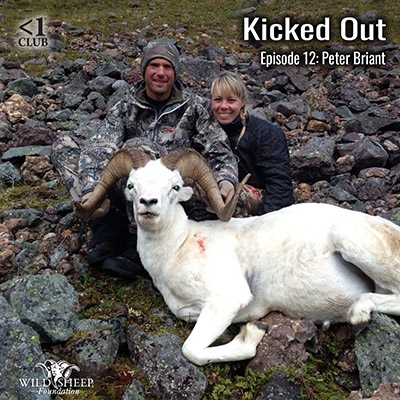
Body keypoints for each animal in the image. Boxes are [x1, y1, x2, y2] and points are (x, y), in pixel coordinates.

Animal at [75, 147, 400, 366]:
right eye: (132, 186)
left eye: (175, 187)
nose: (148, 203)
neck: (177, 249)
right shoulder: (193, 311)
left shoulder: (226, 301)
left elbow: (192, 351)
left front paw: (252, 333)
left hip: (352, 242)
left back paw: (358, 313)